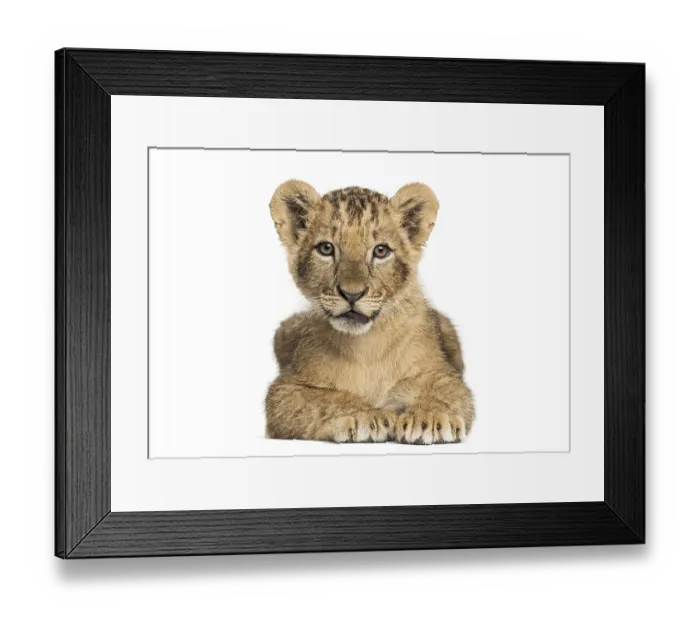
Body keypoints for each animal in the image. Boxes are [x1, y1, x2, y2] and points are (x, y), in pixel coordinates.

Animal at [265, 180, 475, 444]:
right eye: (326, 248)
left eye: (381, 251)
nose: (352, 294)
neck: (367, 344)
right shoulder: (286, 390)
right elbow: (324, 400)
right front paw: (365, 414)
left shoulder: (444, 375)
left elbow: (447, 392)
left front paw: (431, 417)